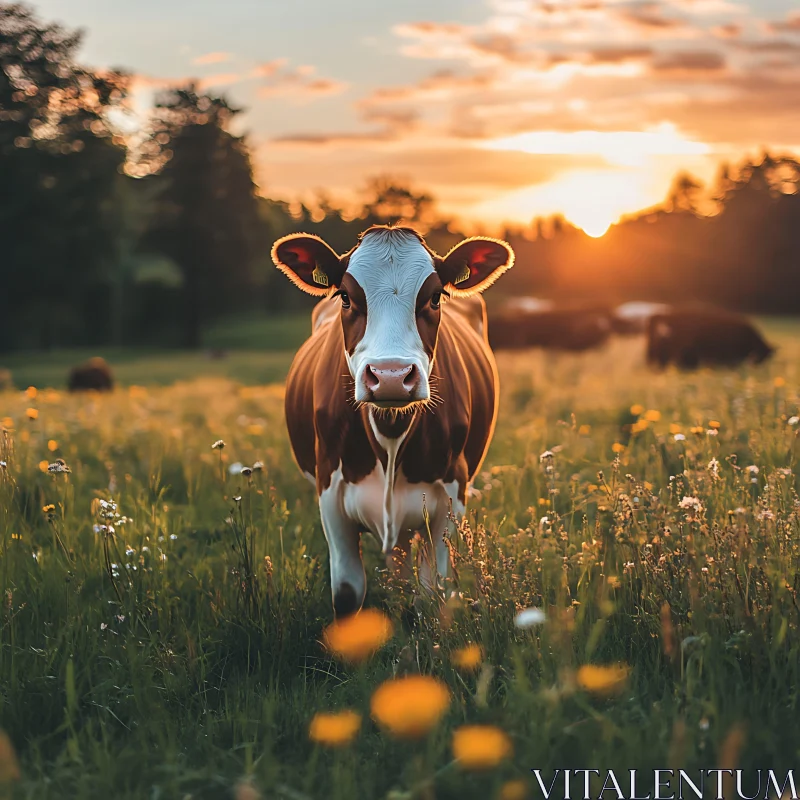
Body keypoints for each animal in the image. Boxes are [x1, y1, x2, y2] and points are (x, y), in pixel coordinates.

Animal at [272, 227, 516, 620]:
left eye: (435, 297)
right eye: (345, 296)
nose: (390, 376)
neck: (389, 435)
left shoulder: (451, 494)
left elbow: (431, 594)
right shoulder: (330, 491)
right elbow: (348, 592)